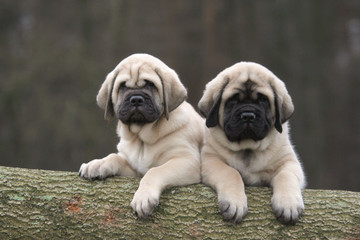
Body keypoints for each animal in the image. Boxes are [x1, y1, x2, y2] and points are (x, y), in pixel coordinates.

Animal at [79, 53, 204, 218]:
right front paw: (97, 164)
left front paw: (143, 198)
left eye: (150, 85)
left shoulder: (187, 161)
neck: (141, 138)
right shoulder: (135, 169)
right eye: (123, 86)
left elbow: (154, 171)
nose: (136, 99)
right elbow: (115, 157)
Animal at [198, 62, 306, 225]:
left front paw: (289, 204)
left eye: (263, 100)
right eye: (233, 100)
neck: (248, 148)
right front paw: (235, 202)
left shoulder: (289, 162)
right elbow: (231, 172)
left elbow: (286, 175)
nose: (248, 115)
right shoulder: (211, 160)